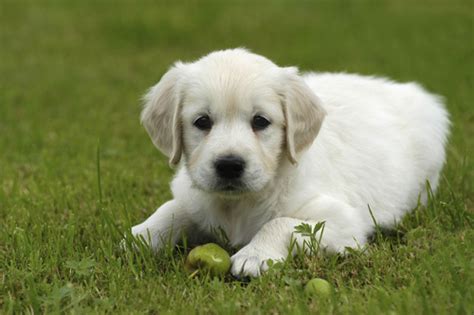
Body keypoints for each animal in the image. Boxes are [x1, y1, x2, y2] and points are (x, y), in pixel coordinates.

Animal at [131, 48, 450, 278]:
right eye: (202, 122)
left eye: (261, 121)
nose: (229, 165)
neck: (238, 204)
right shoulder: (194, 197)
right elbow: (172, 209)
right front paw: (140, 236)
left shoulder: (344, 220)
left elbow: (282, 222)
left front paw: (254, 255)